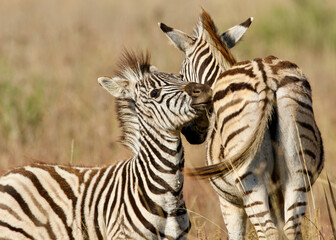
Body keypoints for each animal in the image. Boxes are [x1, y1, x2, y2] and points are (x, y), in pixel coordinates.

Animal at [0, 50, 211, 240]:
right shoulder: (124, 235)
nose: (205, 90)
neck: (169, 194)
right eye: (155, 92)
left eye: (180, 77)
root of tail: (10, 173)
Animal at [159, 9, 322, 240]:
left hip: (249, 180)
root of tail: (267, 78)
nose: (190, 134)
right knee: (291, 229)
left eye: (182, 77)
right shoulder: (277, 195)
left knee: (268, 231)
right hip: (297, 168)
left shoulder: (228, 202)